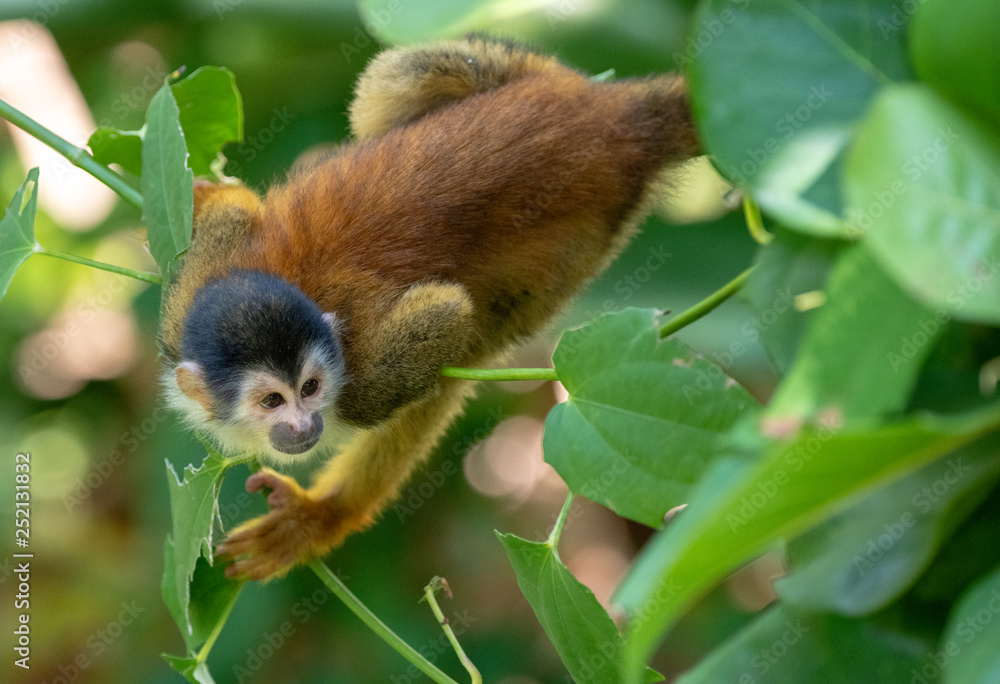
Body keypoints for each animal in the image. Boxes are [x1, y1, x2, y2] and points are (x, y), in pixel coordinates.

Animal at [158, 35, 700, 580]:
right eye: (272, 401)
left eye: (310, 388)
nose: (303, 426)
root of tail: (615, 117)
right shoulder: (184, 305)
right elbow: (237, 211)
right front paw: (207, 193)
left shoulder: (364, 384)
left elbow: (448, 313)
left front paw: (321, 519)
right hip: (526, 72)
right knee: (393, 81)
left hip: (574, 245)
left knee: (474, 340)